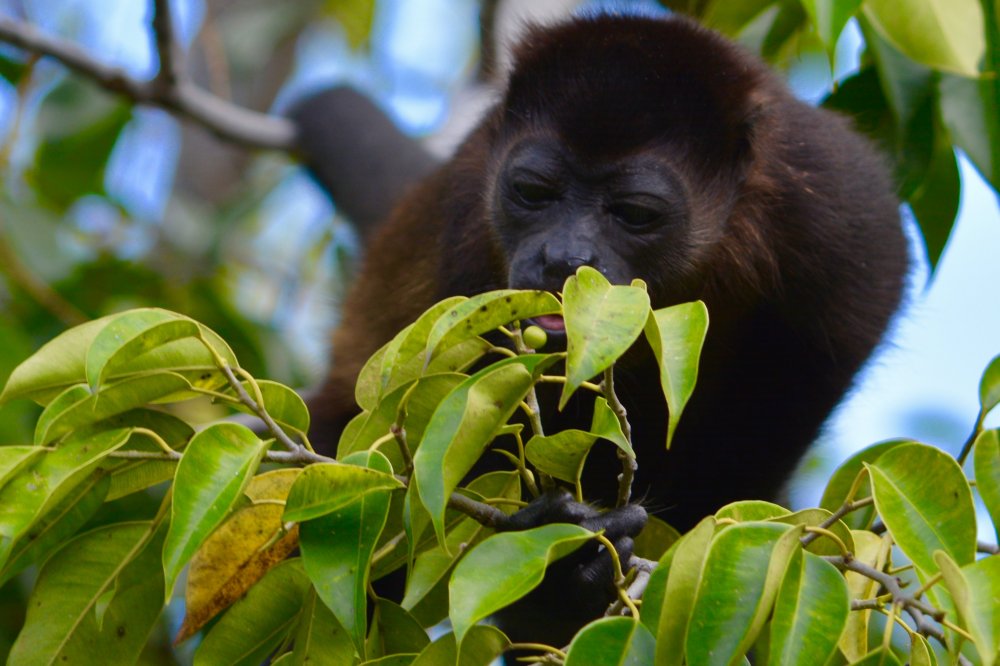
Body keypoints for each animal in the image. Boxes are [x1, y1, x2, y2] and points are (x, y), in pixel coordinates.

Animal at [292, 11, 912, 644]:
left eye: (635, 213)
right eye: (533, 192)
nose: (564, 257)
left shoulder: (836, 203)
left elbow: (821, 357)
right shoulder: (465, 251)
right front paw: (562, 575)